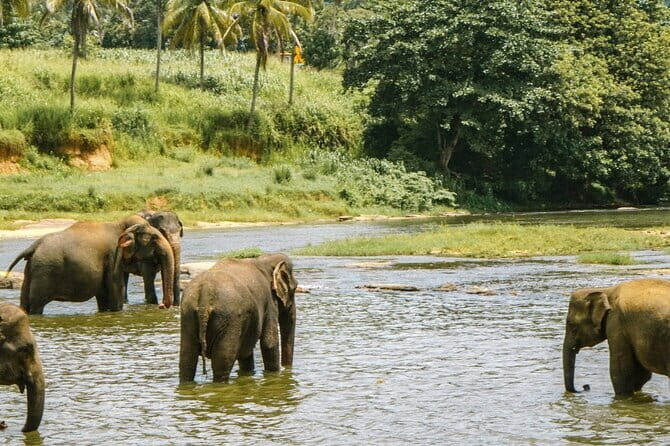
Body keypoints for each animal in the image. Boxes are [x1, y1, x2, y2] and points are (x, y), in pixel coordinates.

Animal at [6, 216, 174, 315]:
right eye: (154, 237)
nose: (162, 306)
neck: (119, 224)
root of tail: (33, 246)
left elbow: (104, 298)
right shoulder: (113, 257)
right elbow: (115, 295)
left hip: (31, 270)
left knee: (25, 303)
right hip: (45, 271)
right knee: (37, 305)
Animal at [179, 253, 297, 383]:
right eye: (294, 289)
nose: (286, 369)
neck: (263, 259)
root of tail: (205, 294)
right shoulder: (269, 301)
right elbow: (269, 343)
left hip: (188, 314)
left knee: (187, 359)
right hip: (229, 320)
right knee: (223, 361)